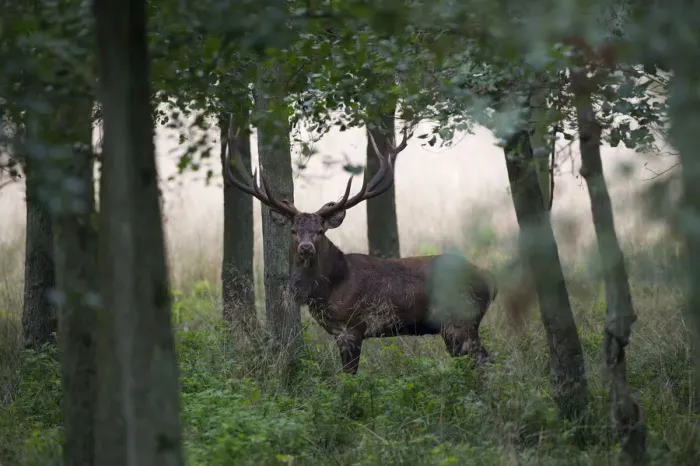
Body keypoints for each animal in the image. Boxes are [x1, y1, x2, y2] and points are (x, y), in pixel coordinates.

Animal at [224, 124, 499, 374]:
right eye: (293, 230)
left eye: (320, 231)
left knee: (486, 363)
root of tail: (490, 280)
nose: (306, 248)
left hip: (462, 320)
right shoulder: (339, 331)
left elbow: (349, 377)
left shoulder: (352, 326)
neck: (329, 288)